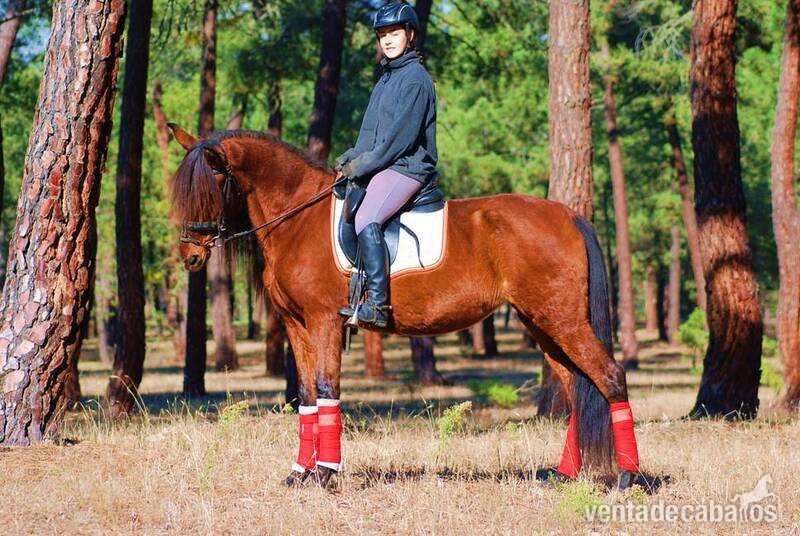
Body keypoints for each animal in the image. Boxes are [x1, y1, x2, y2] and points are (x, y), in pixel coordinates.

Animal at [166, 125, 642, 490]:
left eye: (210, 189)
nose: (190, 257)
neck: (297, 220)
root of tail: (567, 215)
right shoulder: (296, 326)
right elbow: (306, 396)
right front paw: (300, 473)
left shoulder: (323, 323)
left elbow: (327, 388)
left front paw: (326, 474)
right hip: (542, 323)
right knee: (578, 386)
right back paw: (565, 474)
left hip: (561, 320)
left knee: (609, 377)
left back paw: (628, 477)